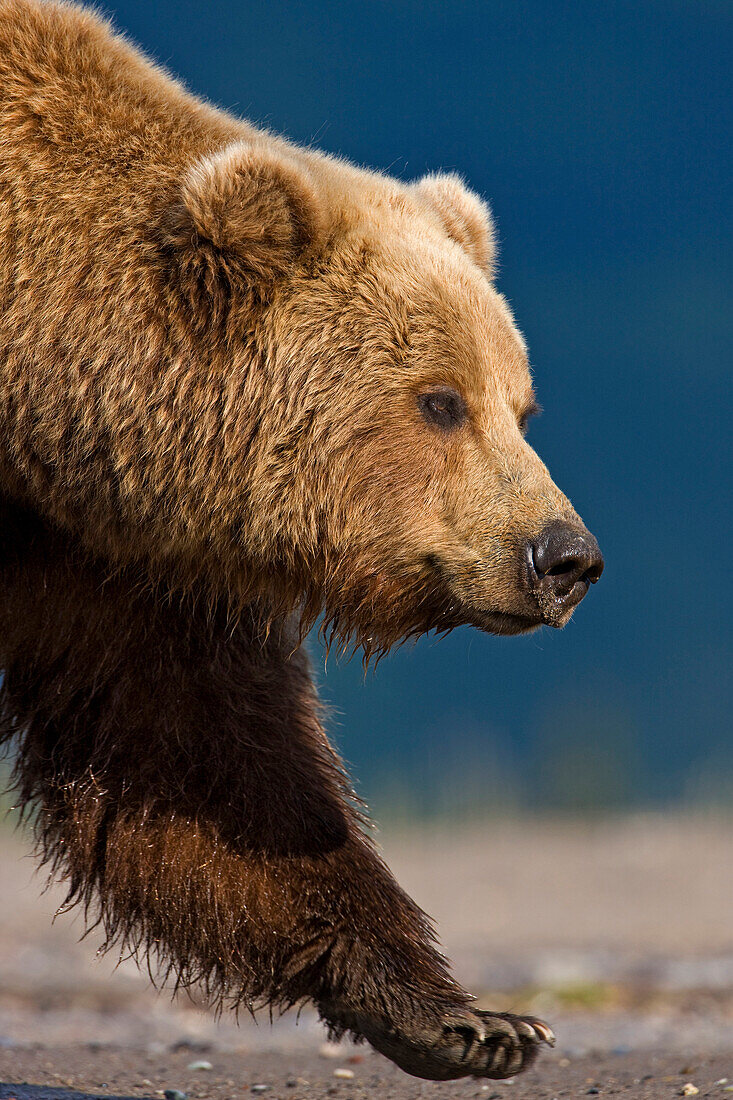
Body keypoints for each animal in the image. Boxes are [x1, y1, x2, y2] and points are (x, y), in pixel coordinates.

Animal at [0, 0, 598, 1082]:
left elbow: (199, 756)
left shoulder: (97, 555)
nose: (562, 555)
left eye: (521, 405)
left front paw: (468, 1019)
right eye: (440, 400)